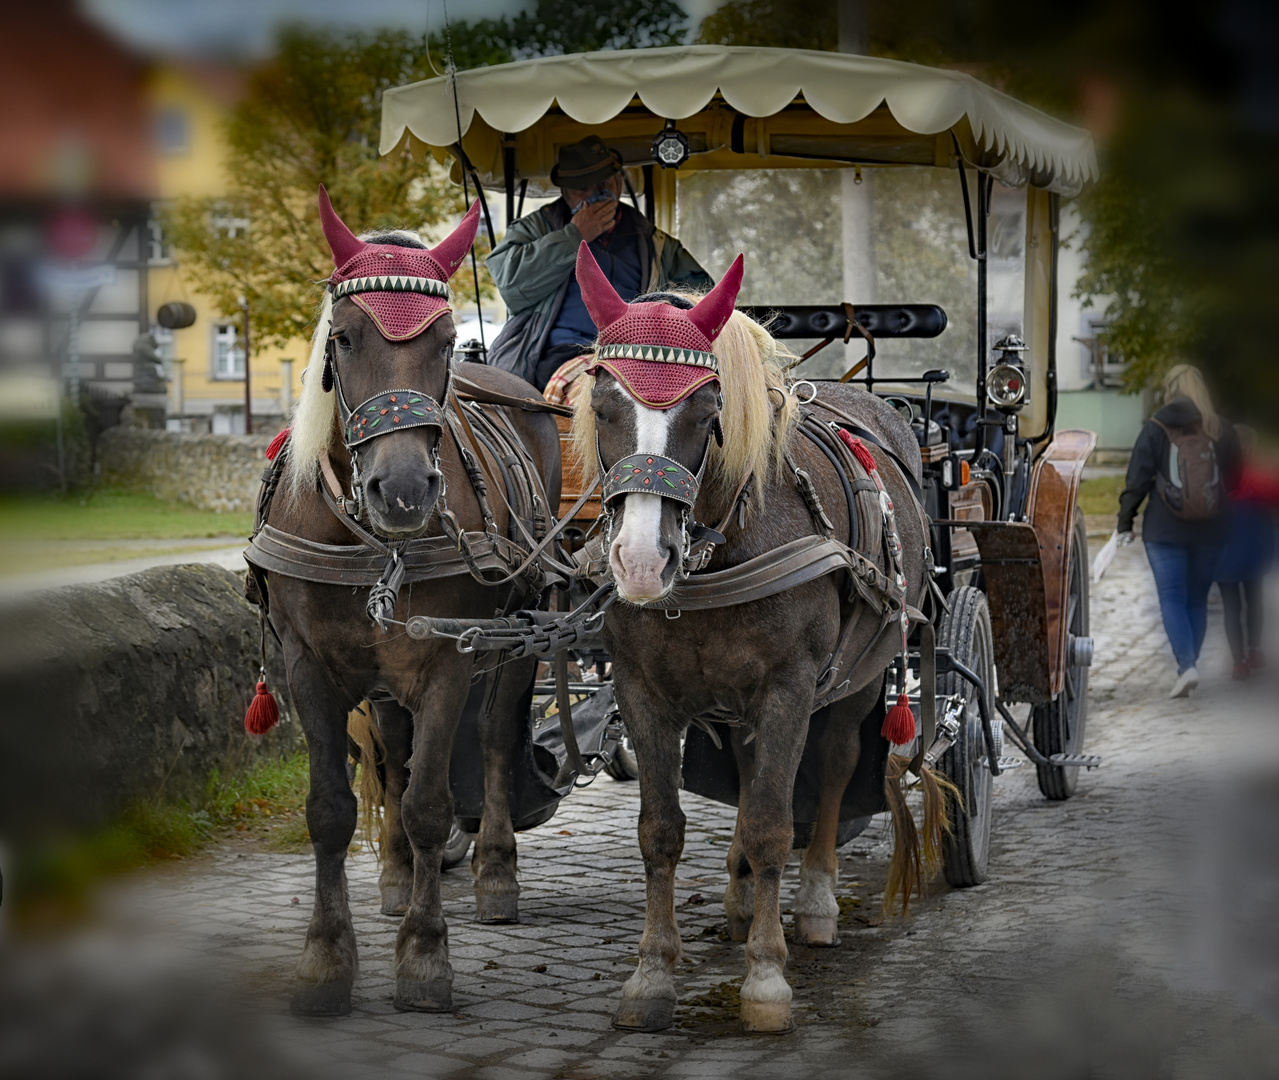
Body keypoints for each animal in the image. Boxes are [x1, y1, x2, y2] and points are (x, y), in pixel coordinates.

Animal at [251, 191, 562, 1013]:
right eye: (345, 337)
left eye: (447, 343)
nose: (401, 490)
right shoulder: (308, 665)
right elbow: (331, 808)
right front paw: (327, 958)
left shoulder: (447, 659)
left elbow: (428, 802)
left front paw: (424, 957)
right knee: (392, 744)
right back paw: (393, 873)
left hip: (517, 632)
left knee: (493, 739)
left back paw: (494, 869)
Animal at [572, 249, 931, 1033]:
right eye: (603, 405)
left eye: (708, 413)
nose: (639, 561)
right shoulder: (640, 690)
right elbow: (660, 828)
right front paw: (652, 972)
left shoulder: (788, 688)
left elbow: (772, 822)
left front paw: (766, 978)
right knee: (742, 768)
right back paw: (738, 898)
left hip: (857, 679)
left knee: (834, 766)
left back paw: (816, 900)